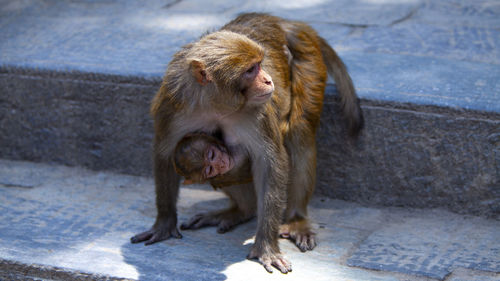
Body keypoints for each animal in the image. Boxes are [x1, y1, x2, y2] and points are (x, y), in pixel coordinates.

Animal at [130, 13, 364, 274]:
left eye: (260, 65)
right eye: (251, 70)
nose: (268, 80)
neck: (213, 103)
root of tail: (281, 21)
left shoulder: (256, 110)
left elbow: (269, 163)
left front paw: (266, 247)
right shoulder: (172, 105)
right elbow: (165, 154)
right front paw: (164, 223)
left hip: (308, 57)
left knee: (299, 132)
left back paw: (296, 219)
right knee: (224, 172)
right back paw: (242, 210)